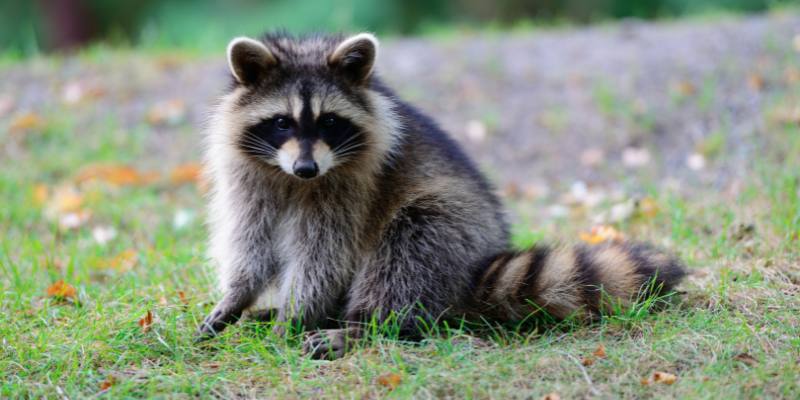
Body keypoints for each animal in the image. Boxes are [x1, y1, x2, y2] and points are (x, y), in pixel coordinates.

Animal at [196, 32, 685, 359]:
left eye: (330, 122)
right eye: (282, 122)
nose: (307, 168)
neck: (292, 179)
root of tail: (478, 267)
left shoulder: (350, 187)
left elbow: (324, 256)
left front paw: (296, 315)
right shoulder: (249, 178)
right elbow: (251, 243)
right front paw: (238, 296)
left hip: (452, 228)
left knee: (409, 249)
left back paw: (363, 325)